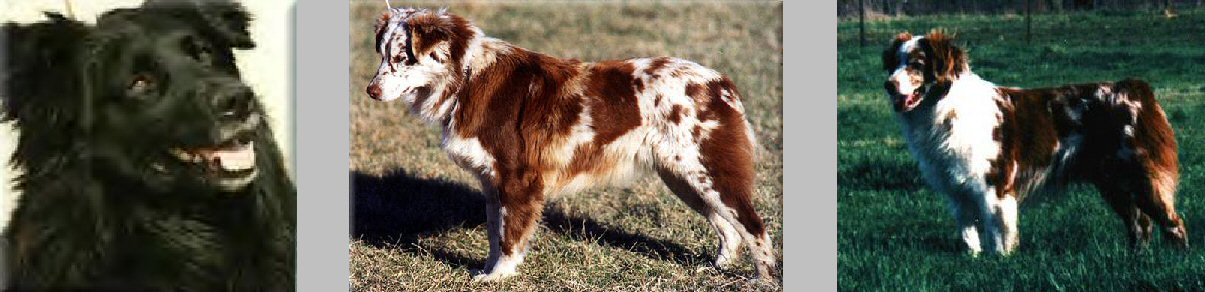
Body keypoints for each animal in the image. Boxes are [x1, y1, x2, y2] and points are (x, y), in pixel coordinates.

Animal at [366, 8, 776, 281]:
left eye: (402, 58)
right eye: (382, 55)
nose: (370, 91)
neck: (466, 77)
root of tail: (720, 82)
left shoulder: (519, 179)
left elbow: (510, 237)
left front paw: (498, 277)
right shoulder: (491, 181)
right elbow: (495, 234)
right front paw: (487, 269)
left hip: (706, 171)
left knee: (754, 226)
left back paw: (761, 279)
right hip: (684, 177)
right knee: (727, 227)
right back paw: (716, 267)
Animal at [886, 30, 1185, 255]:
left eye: (916, 64)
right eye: (894, 63)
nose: (888, 85)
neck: (945, 108)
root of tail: (1137, 89)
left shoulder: (994, 185)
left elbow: (999, 234)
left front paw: (1001, 262)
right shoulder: (958, 190)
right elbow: (969, 235)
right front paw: (974, 260)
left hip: (1140, 175)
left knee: (1173, 222)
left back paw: (1176, 260)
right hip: (1113, 182)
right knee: (1140, 223)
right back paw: (1137, 258)